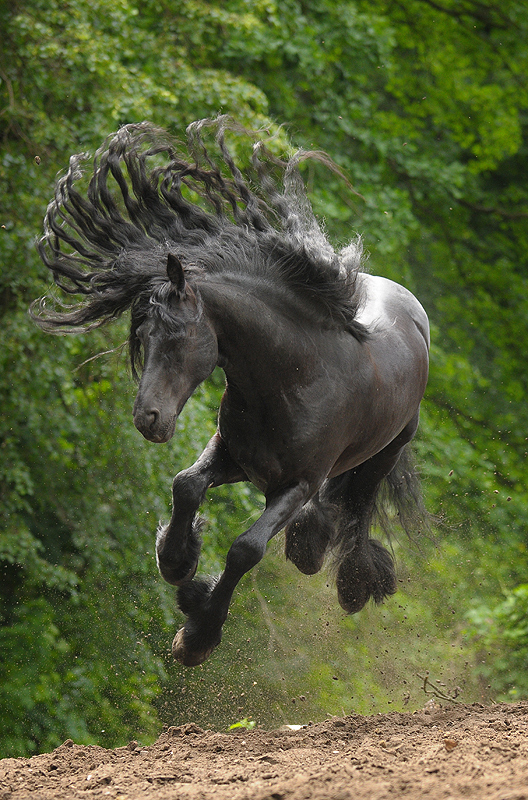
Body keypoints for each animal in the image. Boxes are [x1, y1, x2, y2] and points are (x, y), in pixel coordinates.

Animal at [31, 119, 428, 664]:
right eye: (142, 336)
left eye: (177, 336)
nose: (147, 418)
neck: (292, 381)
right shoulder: (235, 455)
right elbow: (185, 484)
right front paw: (178, 563)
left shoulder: (296, 483)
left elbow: (246, 548)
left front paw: (197, 636)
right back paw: (305, 546)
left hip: (385, 451)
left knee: (360, 507)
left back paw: (350, 580)